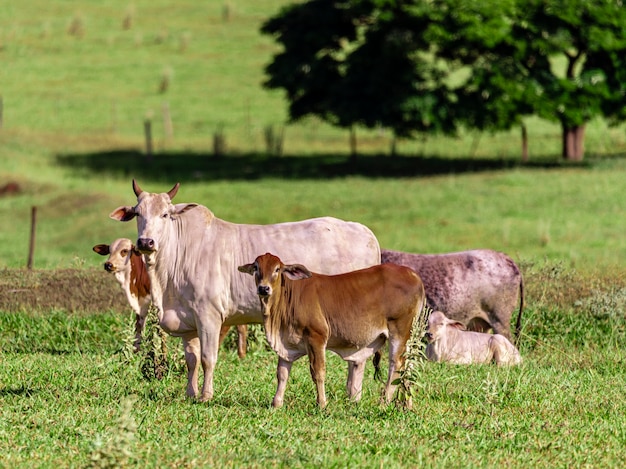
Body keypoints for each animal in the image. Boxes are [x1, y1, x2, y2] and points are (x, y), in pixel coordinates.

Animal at [94, 239, 245, 356]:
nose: (108, 264)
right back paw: (241, 354)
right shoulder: (142, 305)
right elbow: (139, 327)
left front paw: (163, 354)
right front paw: (135, 352)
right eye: (109, 251)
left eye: (124, 251)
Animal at [239, 250, 424, 408]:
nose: (263, 288)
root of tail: (413, 274)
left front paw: (321, 403)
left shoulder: (316, 337)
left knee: (396, 365)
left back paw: (384, 403)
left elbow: (318, 372)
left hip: (399, 331)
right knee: (408, 366)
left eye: (277, 269)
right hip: (409, 337)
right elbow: (282, 373)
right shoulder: (285, 343)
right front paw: (276, 403)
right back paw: (406, 405)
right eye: (256, 267)